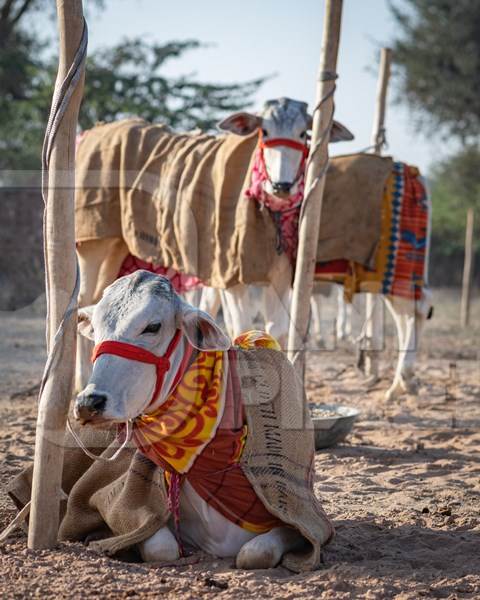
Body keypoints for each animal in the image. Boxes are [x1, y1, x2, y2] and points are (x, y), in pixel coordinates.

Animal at [74, 270, 334, 568]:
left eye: (153, 326)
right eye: (96, 328)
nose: (88, 403)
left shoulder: (305, 522)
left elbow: (256, 552)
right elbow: (161, 547)